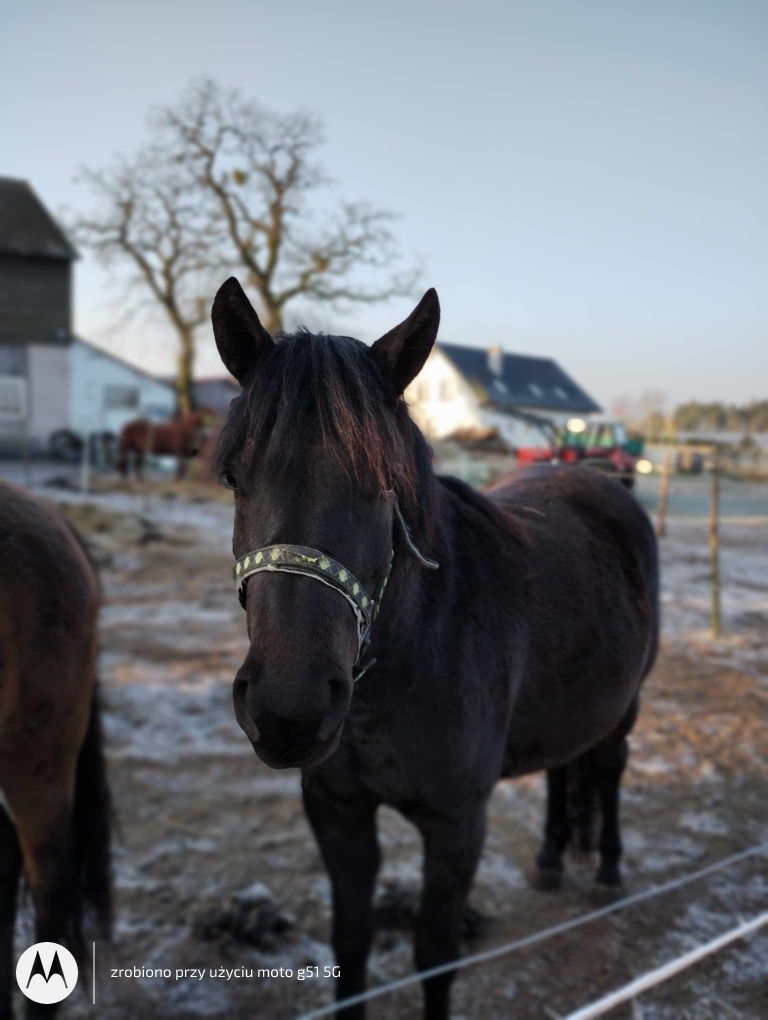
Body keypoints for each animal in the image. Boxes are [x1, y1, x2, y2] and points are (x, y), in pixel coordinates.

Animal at [211, 279, 660, 1020]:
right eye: (233, 477)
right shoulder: (338, 814)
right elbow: (351, 946)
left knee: (611, 768)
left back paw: (608, 868)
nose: (288, 709)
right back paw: (551, 860)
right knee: (565, 768)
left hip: (626, 707)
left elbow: (436, 957)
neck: (408, 667)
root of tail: (603, 480)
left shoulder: (455, 827)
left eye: (382, 481)